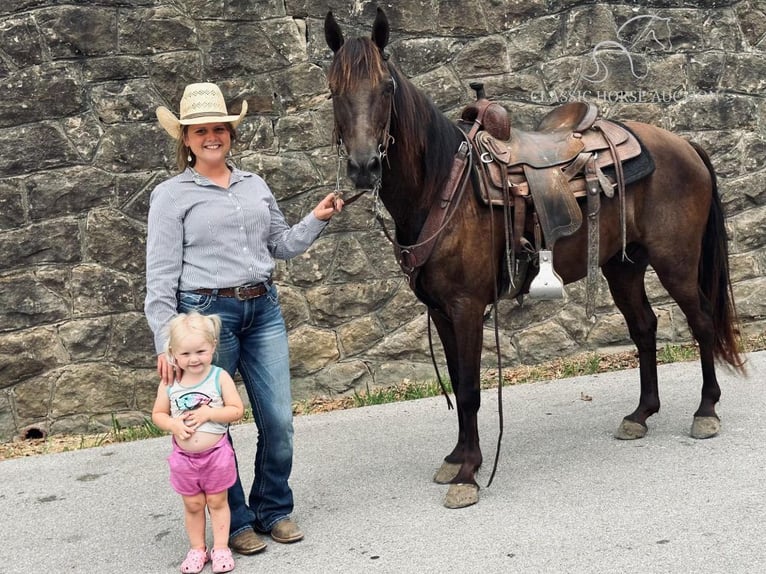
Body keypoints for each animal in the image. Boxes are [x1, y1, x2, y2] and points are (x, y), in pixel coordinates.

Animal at [324, 7, 744, 508]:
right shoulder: (442, 312)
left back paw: (706, 410)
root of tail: (684, 146)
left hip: (675, 264)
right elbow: (457, 380)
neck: (443, 186)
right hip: (623, 266)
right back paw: (641, 414)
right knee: (645, 327)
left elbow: (470, 389)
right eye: (333, 88)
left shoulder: (466, 307)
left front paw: (469, 473)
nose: (363, 166)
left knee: (701, 322)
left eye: (386, 87)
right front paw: (456, 458)